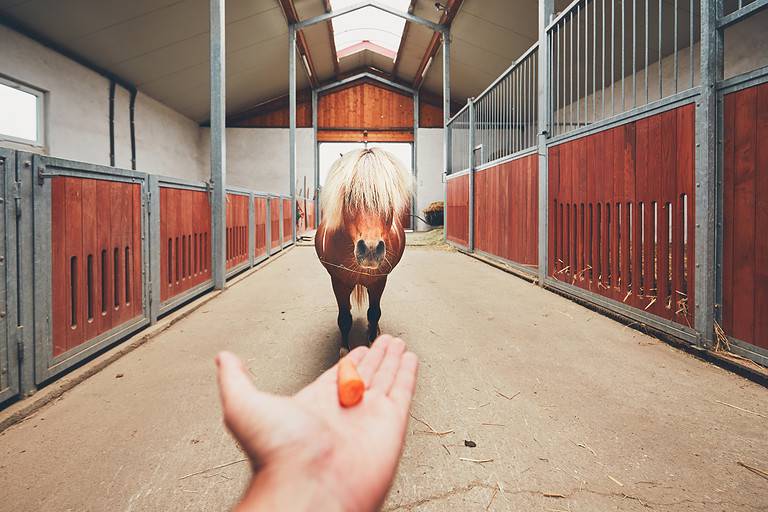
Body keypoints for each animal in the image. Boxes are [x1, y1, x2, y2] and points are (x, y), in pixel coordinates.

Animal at [315, 148, 412, 352]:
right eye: (350, 195)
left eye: (387, 197)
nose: (370, 249)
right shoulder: (339, 282)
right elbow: (344, 318)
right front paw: (344, 351)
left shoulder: (379, 282)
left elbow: (374, 313)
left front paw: (373, 340)